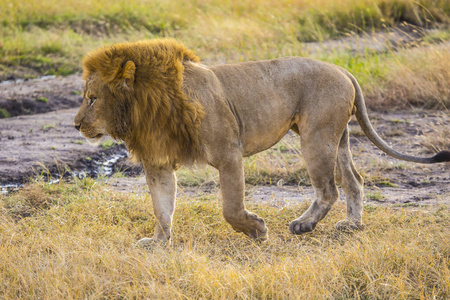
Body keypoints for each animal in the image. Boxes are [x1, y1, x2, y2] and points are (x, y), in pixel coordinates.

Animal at [74, 38, 450, 247]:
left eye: (92, 99)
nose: (76, 125)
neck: (145, 108)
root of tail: (342, 69)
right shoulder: (159, 163)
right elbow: (162, 208)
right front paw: (158, 243)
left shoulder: (229, 152)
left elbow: (230, 207)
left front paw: (257, 231)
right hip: (337, 137)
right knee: (354, 181)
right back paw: (352, 225)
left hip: (316, 137)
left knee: (329, 189)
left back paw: (303, 225)